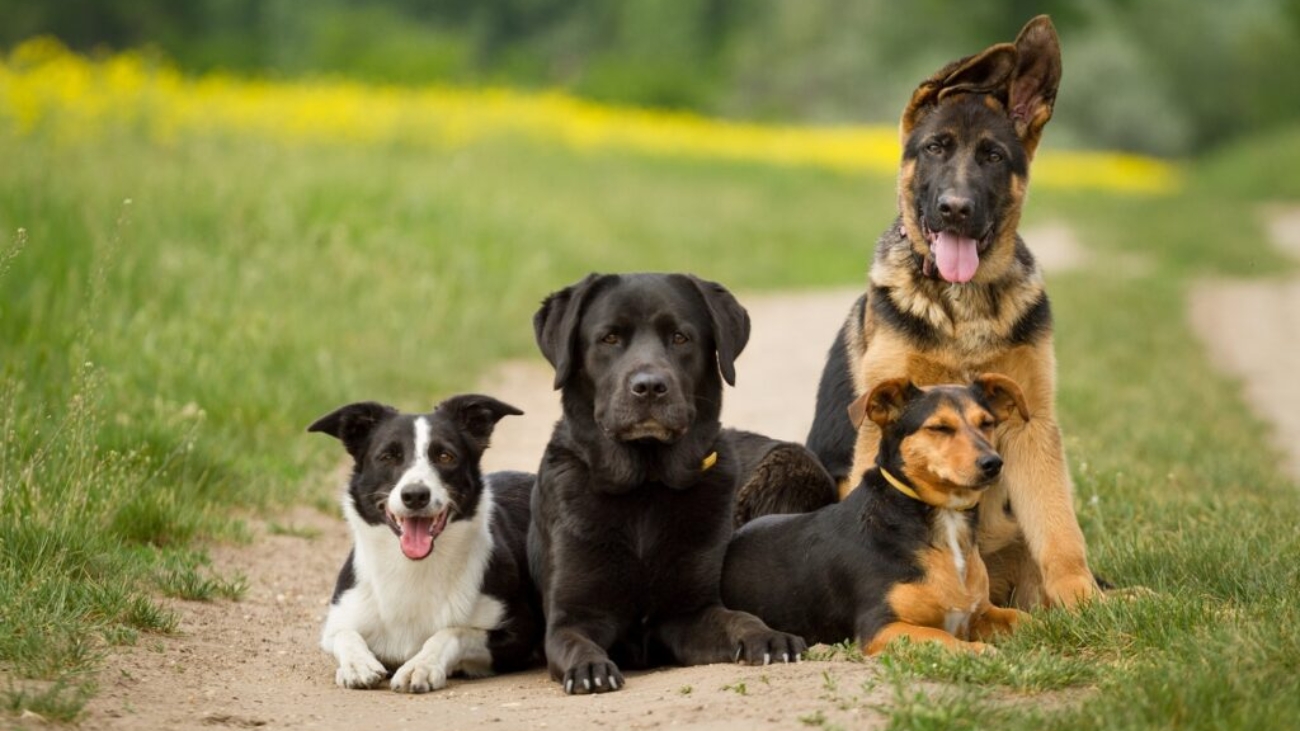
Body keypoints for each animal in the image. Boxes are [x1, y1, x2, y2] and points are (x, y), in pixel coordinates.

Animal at [800, 18, 1097, 608]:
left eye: (993, 156)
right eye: (936, 148)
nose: (955, 210)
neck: (964, 307)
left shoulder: (1032, 426)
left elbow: (1060, 529)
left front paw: (1084, 601)